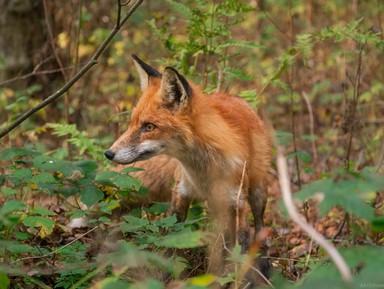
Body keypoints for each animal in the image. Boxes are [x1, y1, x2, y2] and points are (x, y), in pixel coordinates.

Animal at [105, 55, 272, 280]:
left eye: (149, 127)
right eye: (131, 124)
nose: (109, 153)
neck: (203, 171)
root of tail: (238, 99)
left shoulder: (238, 201)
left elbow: (244, 245)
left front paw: (243, 279)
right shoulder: (180, 192)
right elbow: (171, 238)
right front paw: (166, 276)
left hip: (257, 194)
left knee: (260, 227)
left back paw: (264, 264)